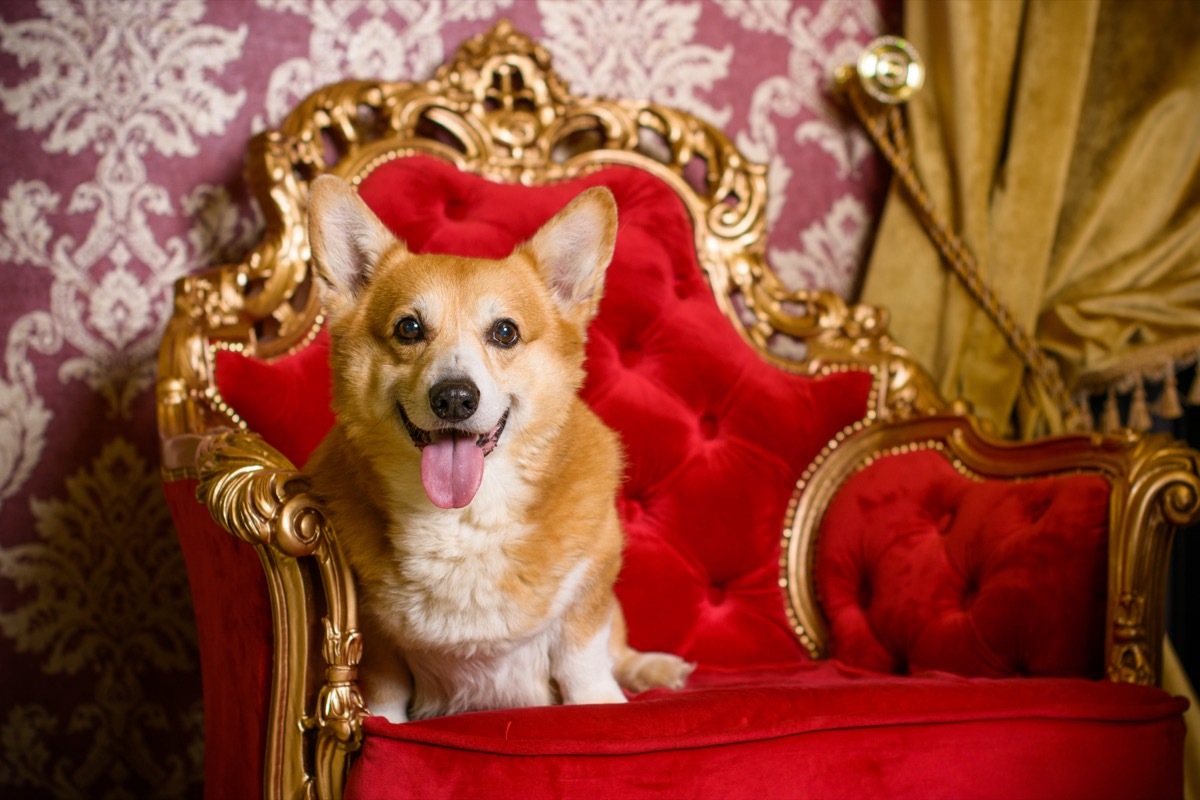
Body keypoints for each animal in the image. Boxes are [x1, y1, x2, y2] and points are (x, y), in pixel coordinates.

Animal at [300, 176, 696, 724]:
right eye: (409, 328)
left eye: (505, 332)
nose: (454, 398)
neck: (464, 519)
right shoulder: (375, 637)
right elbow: (384, 695)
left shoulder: (590, 589)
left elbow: (585, 666)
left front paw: (601, 702)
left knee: (620, 651)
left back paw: (654, 669)